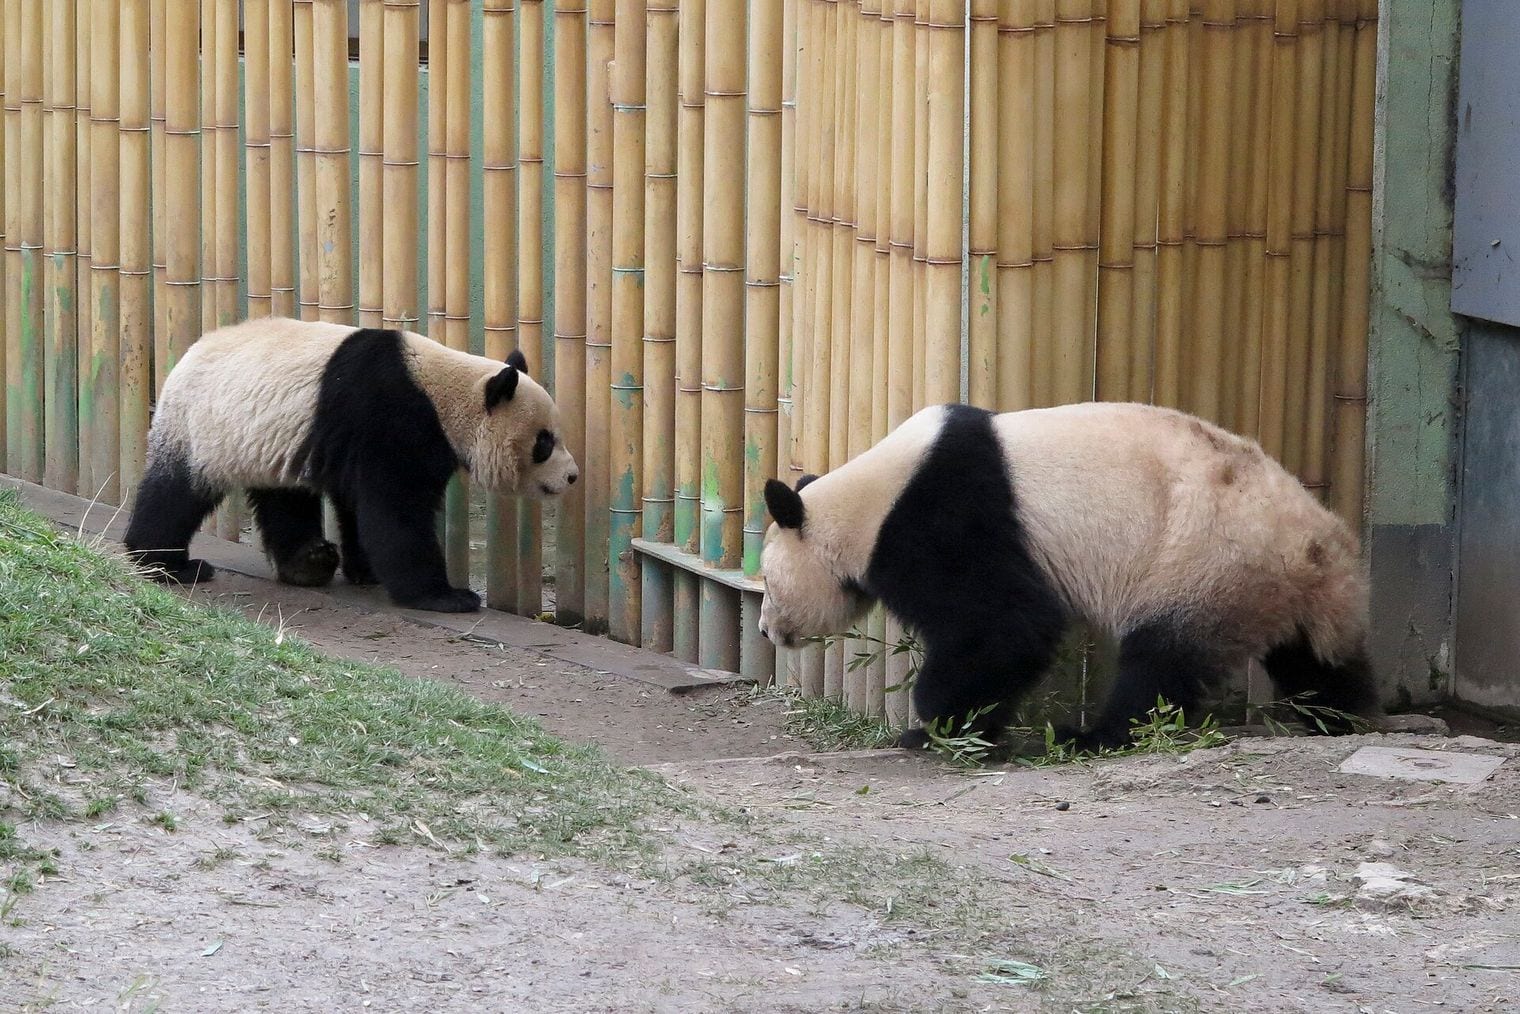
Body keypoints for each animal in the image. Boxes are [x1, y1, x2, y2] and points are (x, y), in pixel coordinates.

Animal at [123, 316, 579, 613]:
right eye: (543, 443)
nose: (572, 476)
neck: (446, 392)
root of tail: (183, 359)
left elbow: (361, 505)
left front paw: (367, 571)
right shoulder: (394, 417)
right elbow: (395, 511)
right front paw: (446, 596)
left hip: (270, 438)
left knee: (284, 497)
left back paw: (308, 562)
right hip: (203, 427)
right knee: (175, 494)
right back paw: (166, 564)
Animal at [758, 401, 1380, 753]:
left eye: (767, 581)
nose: (766, 630)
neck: (868, 500)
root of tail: (1316, 546)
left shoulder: (943, 518)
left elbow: (1004, 626)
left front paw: (935, 727)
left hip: (1204, 562)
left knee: (1160, 661)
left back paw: (1098, 736)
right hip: (1280, 591)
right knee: (1315, 660)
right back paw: (1343, 717)